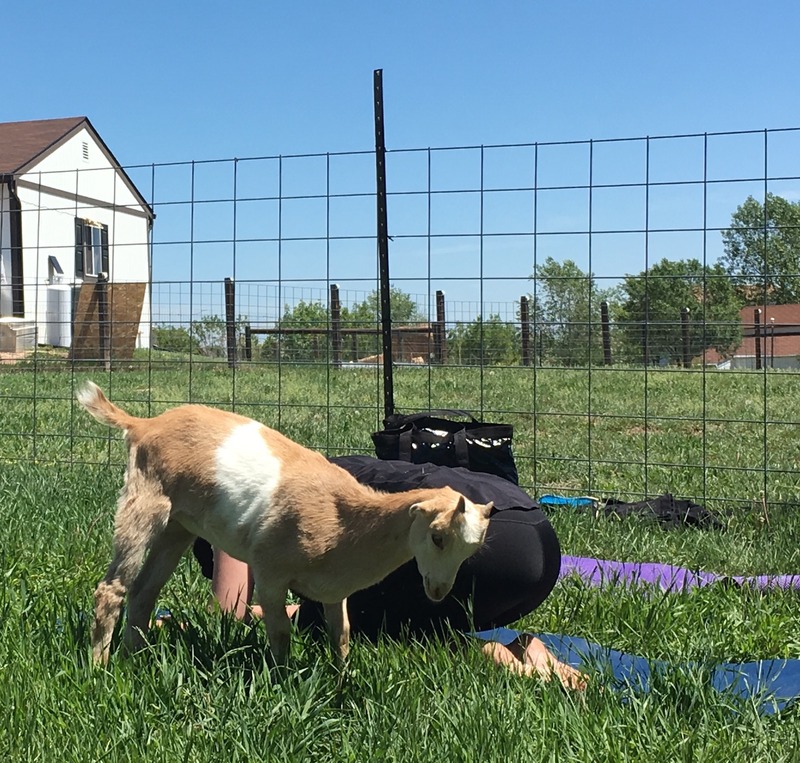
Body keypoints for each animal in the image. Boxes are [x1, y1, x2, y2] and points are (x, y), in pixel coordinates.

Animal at [78, 382, 493, 669]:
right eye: (437, 537)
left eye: (471, 550)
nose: (438, 592)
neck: (344, 521)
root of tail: (143, 424)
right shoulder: (271, 575)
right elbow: (280, 634)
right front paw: (283, 682)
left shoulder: (334, 590)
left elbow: (341, 636)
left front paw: (341, 685)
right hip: (144, 503)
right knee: (112, 589)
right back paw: (101, 668)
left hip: (178, 527)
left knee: (143, 591)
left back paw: (134, 659)